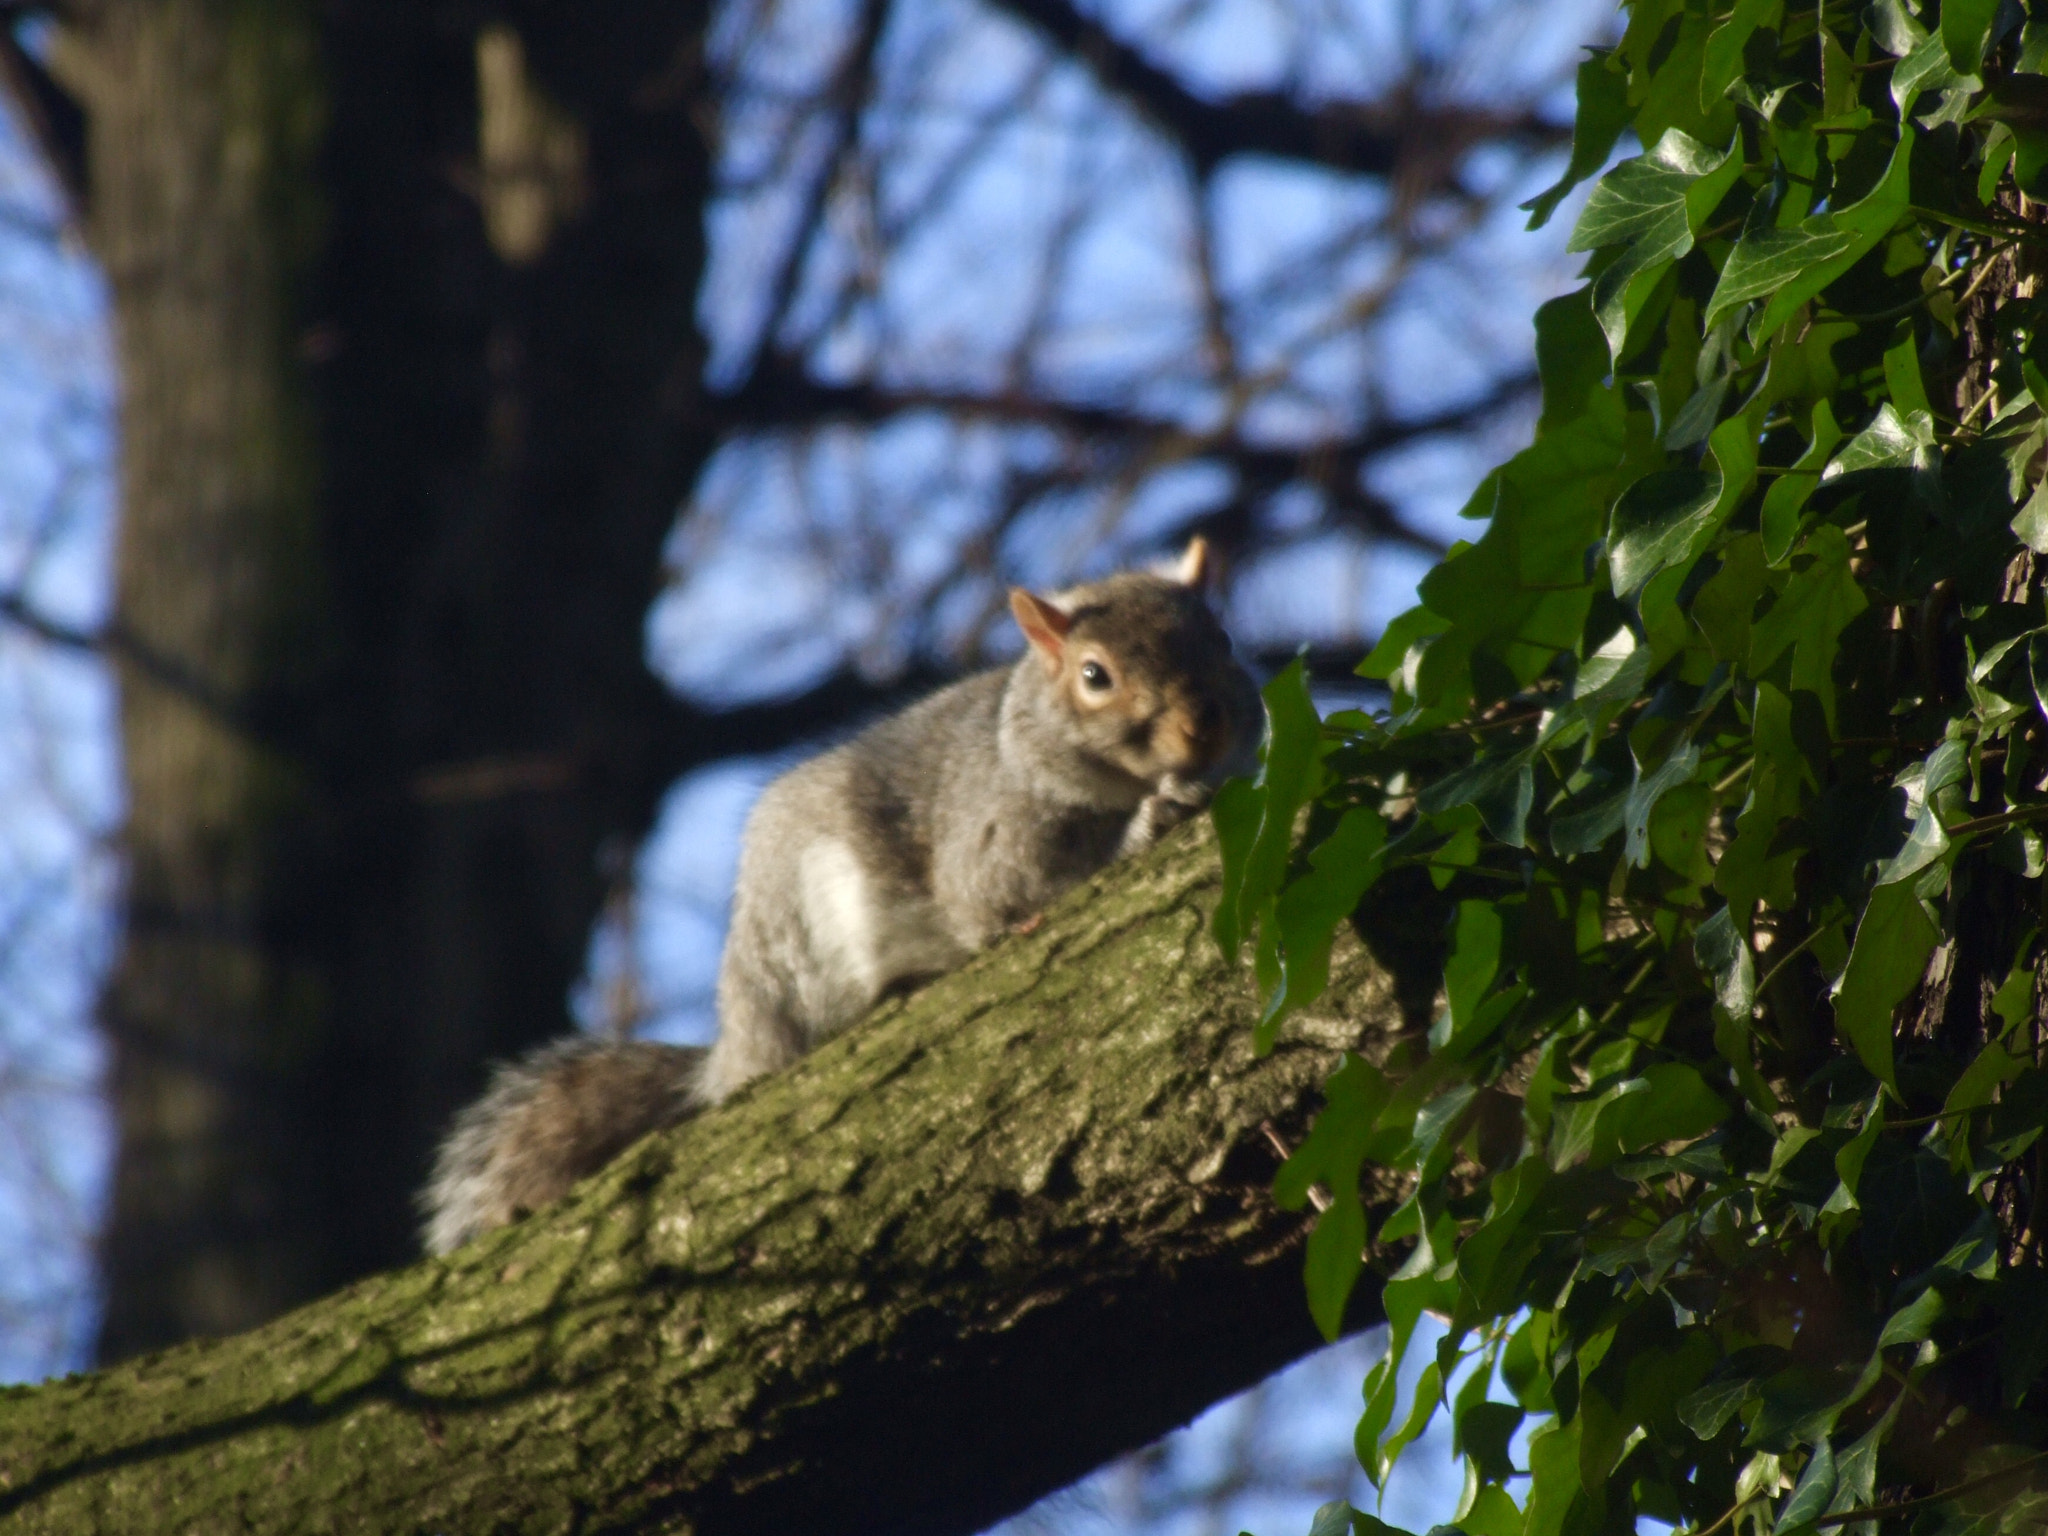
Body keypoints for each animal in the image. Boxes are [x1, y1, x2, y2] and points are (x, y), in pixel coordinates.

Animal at [419, 536, 1261, 1253]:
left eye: (1223, 639)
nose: (1205, 726)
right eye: (1094, 676)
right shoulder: (991, 842)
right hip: (807, 937)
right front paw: (1150, 821)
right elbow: (1011, 896)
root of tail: (739, 1045)